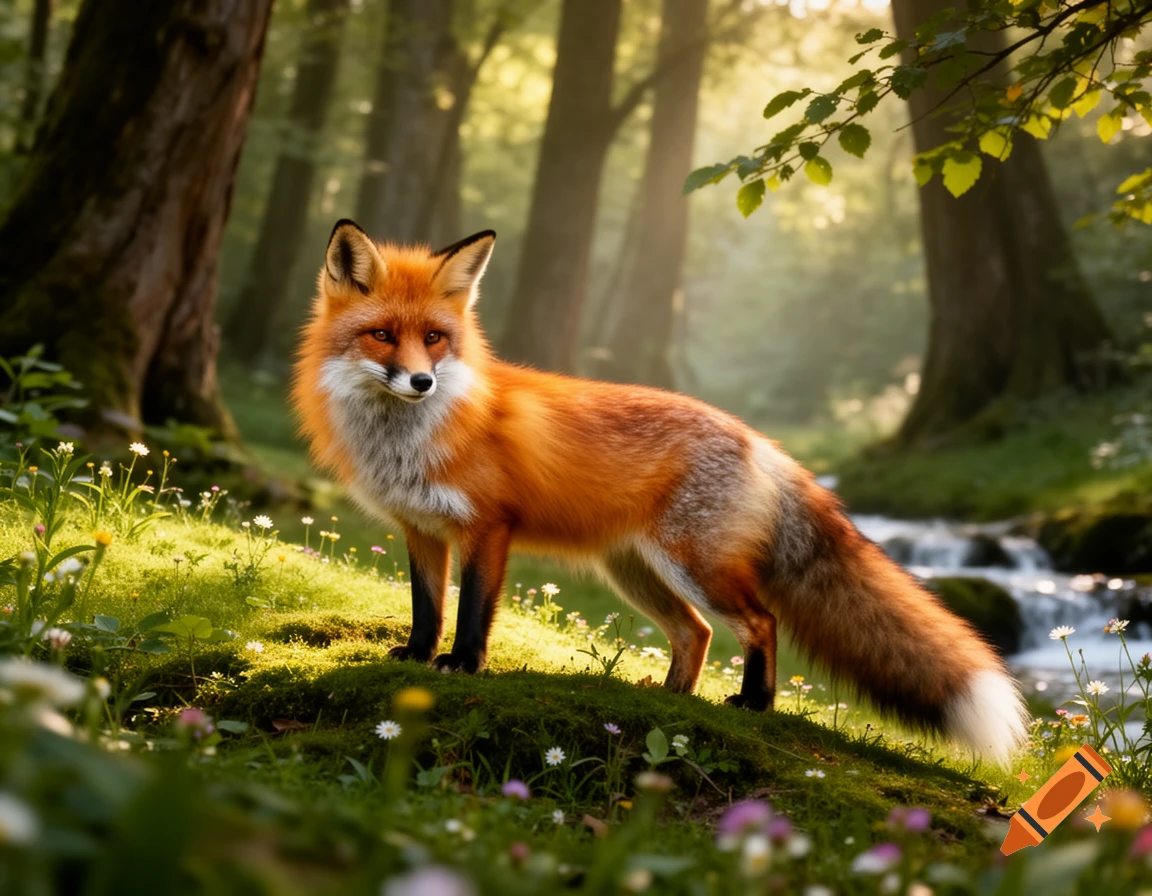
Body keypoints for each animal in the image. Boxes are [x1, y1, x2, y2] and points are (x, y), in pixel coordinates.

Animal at [292, 220, 1028, 765]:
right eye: (383, 335)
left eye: (436, 339)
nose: (422, 383)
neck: (409, 439)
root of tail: (760, 441)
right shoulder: (420, 528)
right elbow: (426, 607)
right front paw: (418, 656)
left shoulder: (486, 530)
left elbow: (471, 611)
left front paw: (462, 665)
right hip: (636, 572)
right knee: (695, 633)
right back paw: (674, 700)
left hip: (692, 565)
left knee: (759, 622)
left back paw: (754, 704)